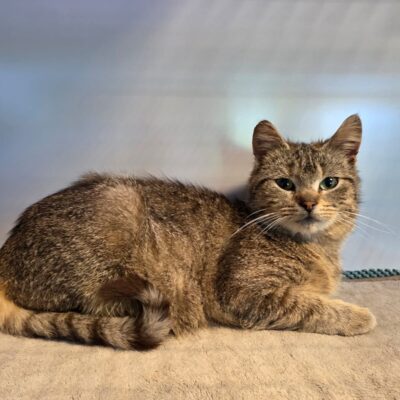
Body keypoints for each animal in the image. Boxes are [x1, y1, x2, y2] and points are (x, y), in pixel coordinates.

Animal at [0, 114, 376, 350]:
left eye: (329, 182)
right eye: (285, 184)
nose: (309, 202)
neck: (318, 247)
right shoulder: (243, 292)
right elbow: (309, 305)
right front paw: (359, 315)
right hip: (121, 229)